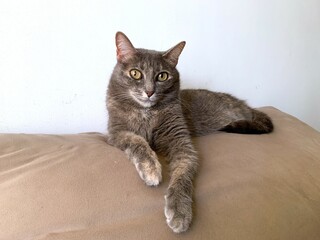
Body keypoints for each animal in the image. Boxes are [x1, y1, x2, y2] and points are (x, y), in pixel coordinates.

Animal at [105, 31, 272, 232]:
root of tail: (244, 105)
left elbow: (183, 172)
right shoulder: (115, 132)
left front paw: (179, 211)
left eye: (162, 76)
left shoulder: (180, 139)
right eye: (135, 73)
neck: (147, 113)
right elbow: (137, 141)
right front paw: (151, 170)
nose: (149, 92)